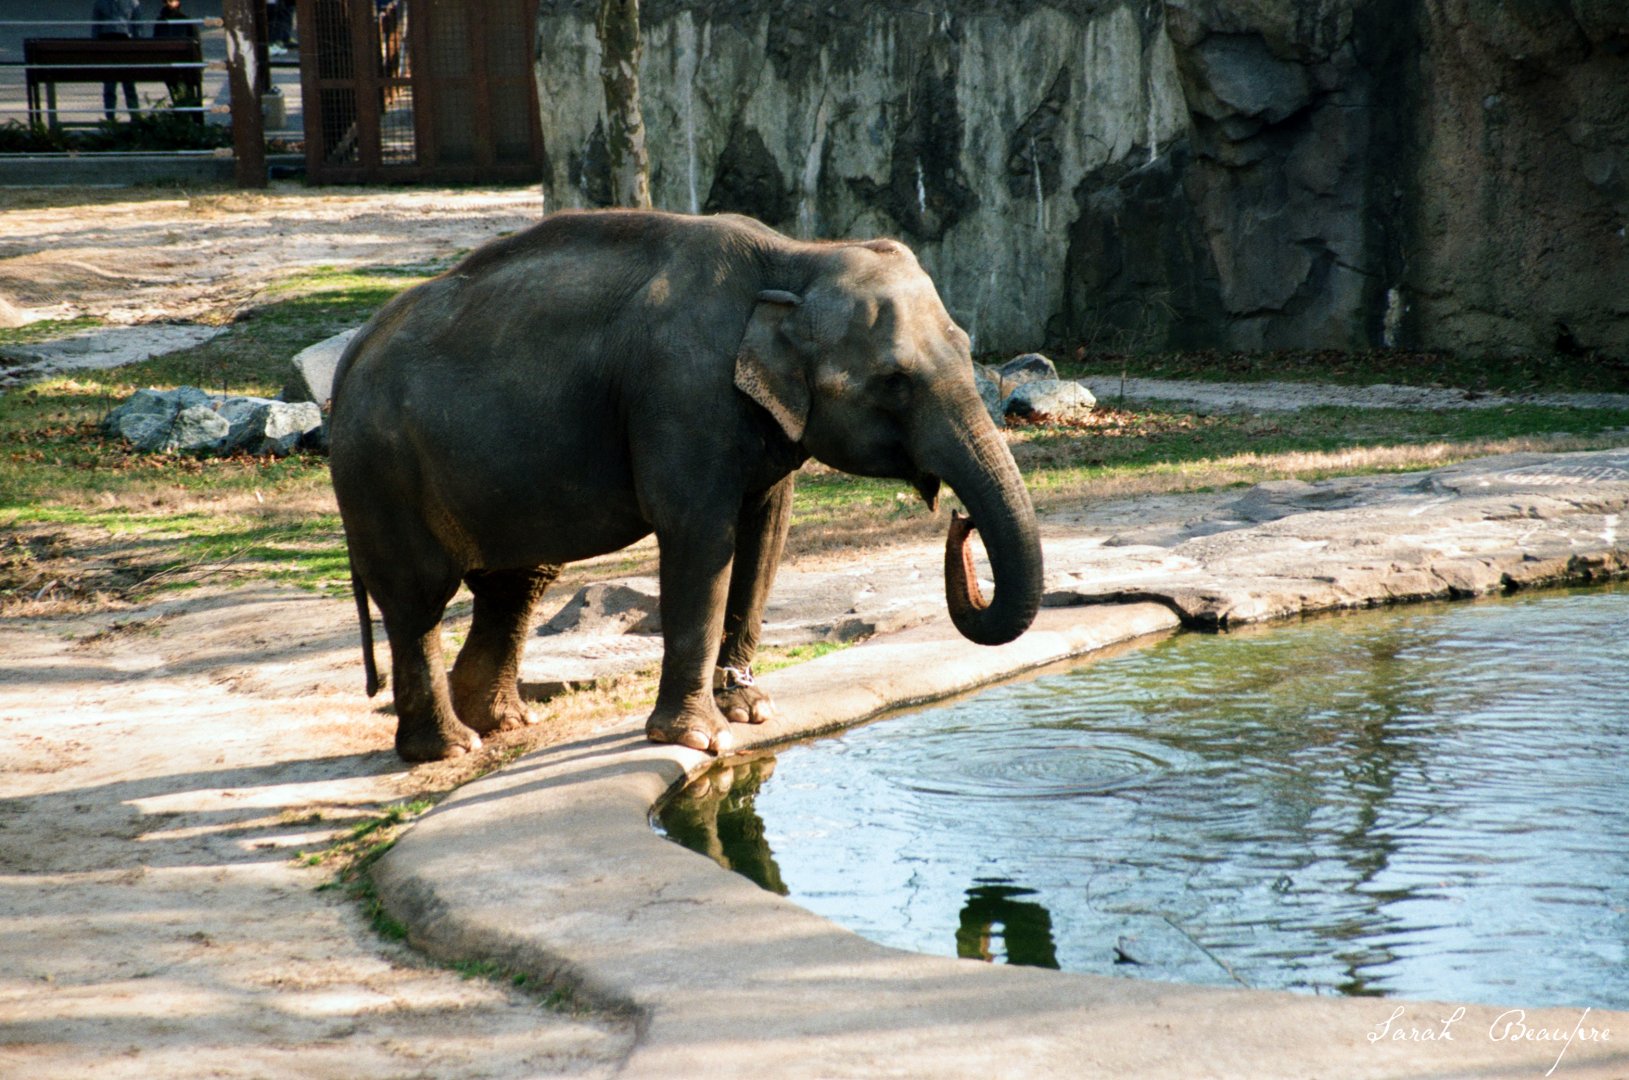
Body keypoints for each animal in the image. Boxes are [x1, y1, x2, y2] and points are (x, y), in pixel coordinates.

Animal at [328, 209, 1043, 761]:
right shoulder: (681, 396)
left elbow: (765, 533)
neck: (795, 258)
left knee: (516, 583)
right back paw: (451, 748)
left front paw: (750, 709)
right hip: (379, 473)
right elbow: (701, 536)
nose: (960, 519)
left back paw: (503, 723)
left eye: (966, 347)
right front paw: (699, 739)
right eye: (895, 382)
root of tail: (348, 357)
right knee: (420, 598)